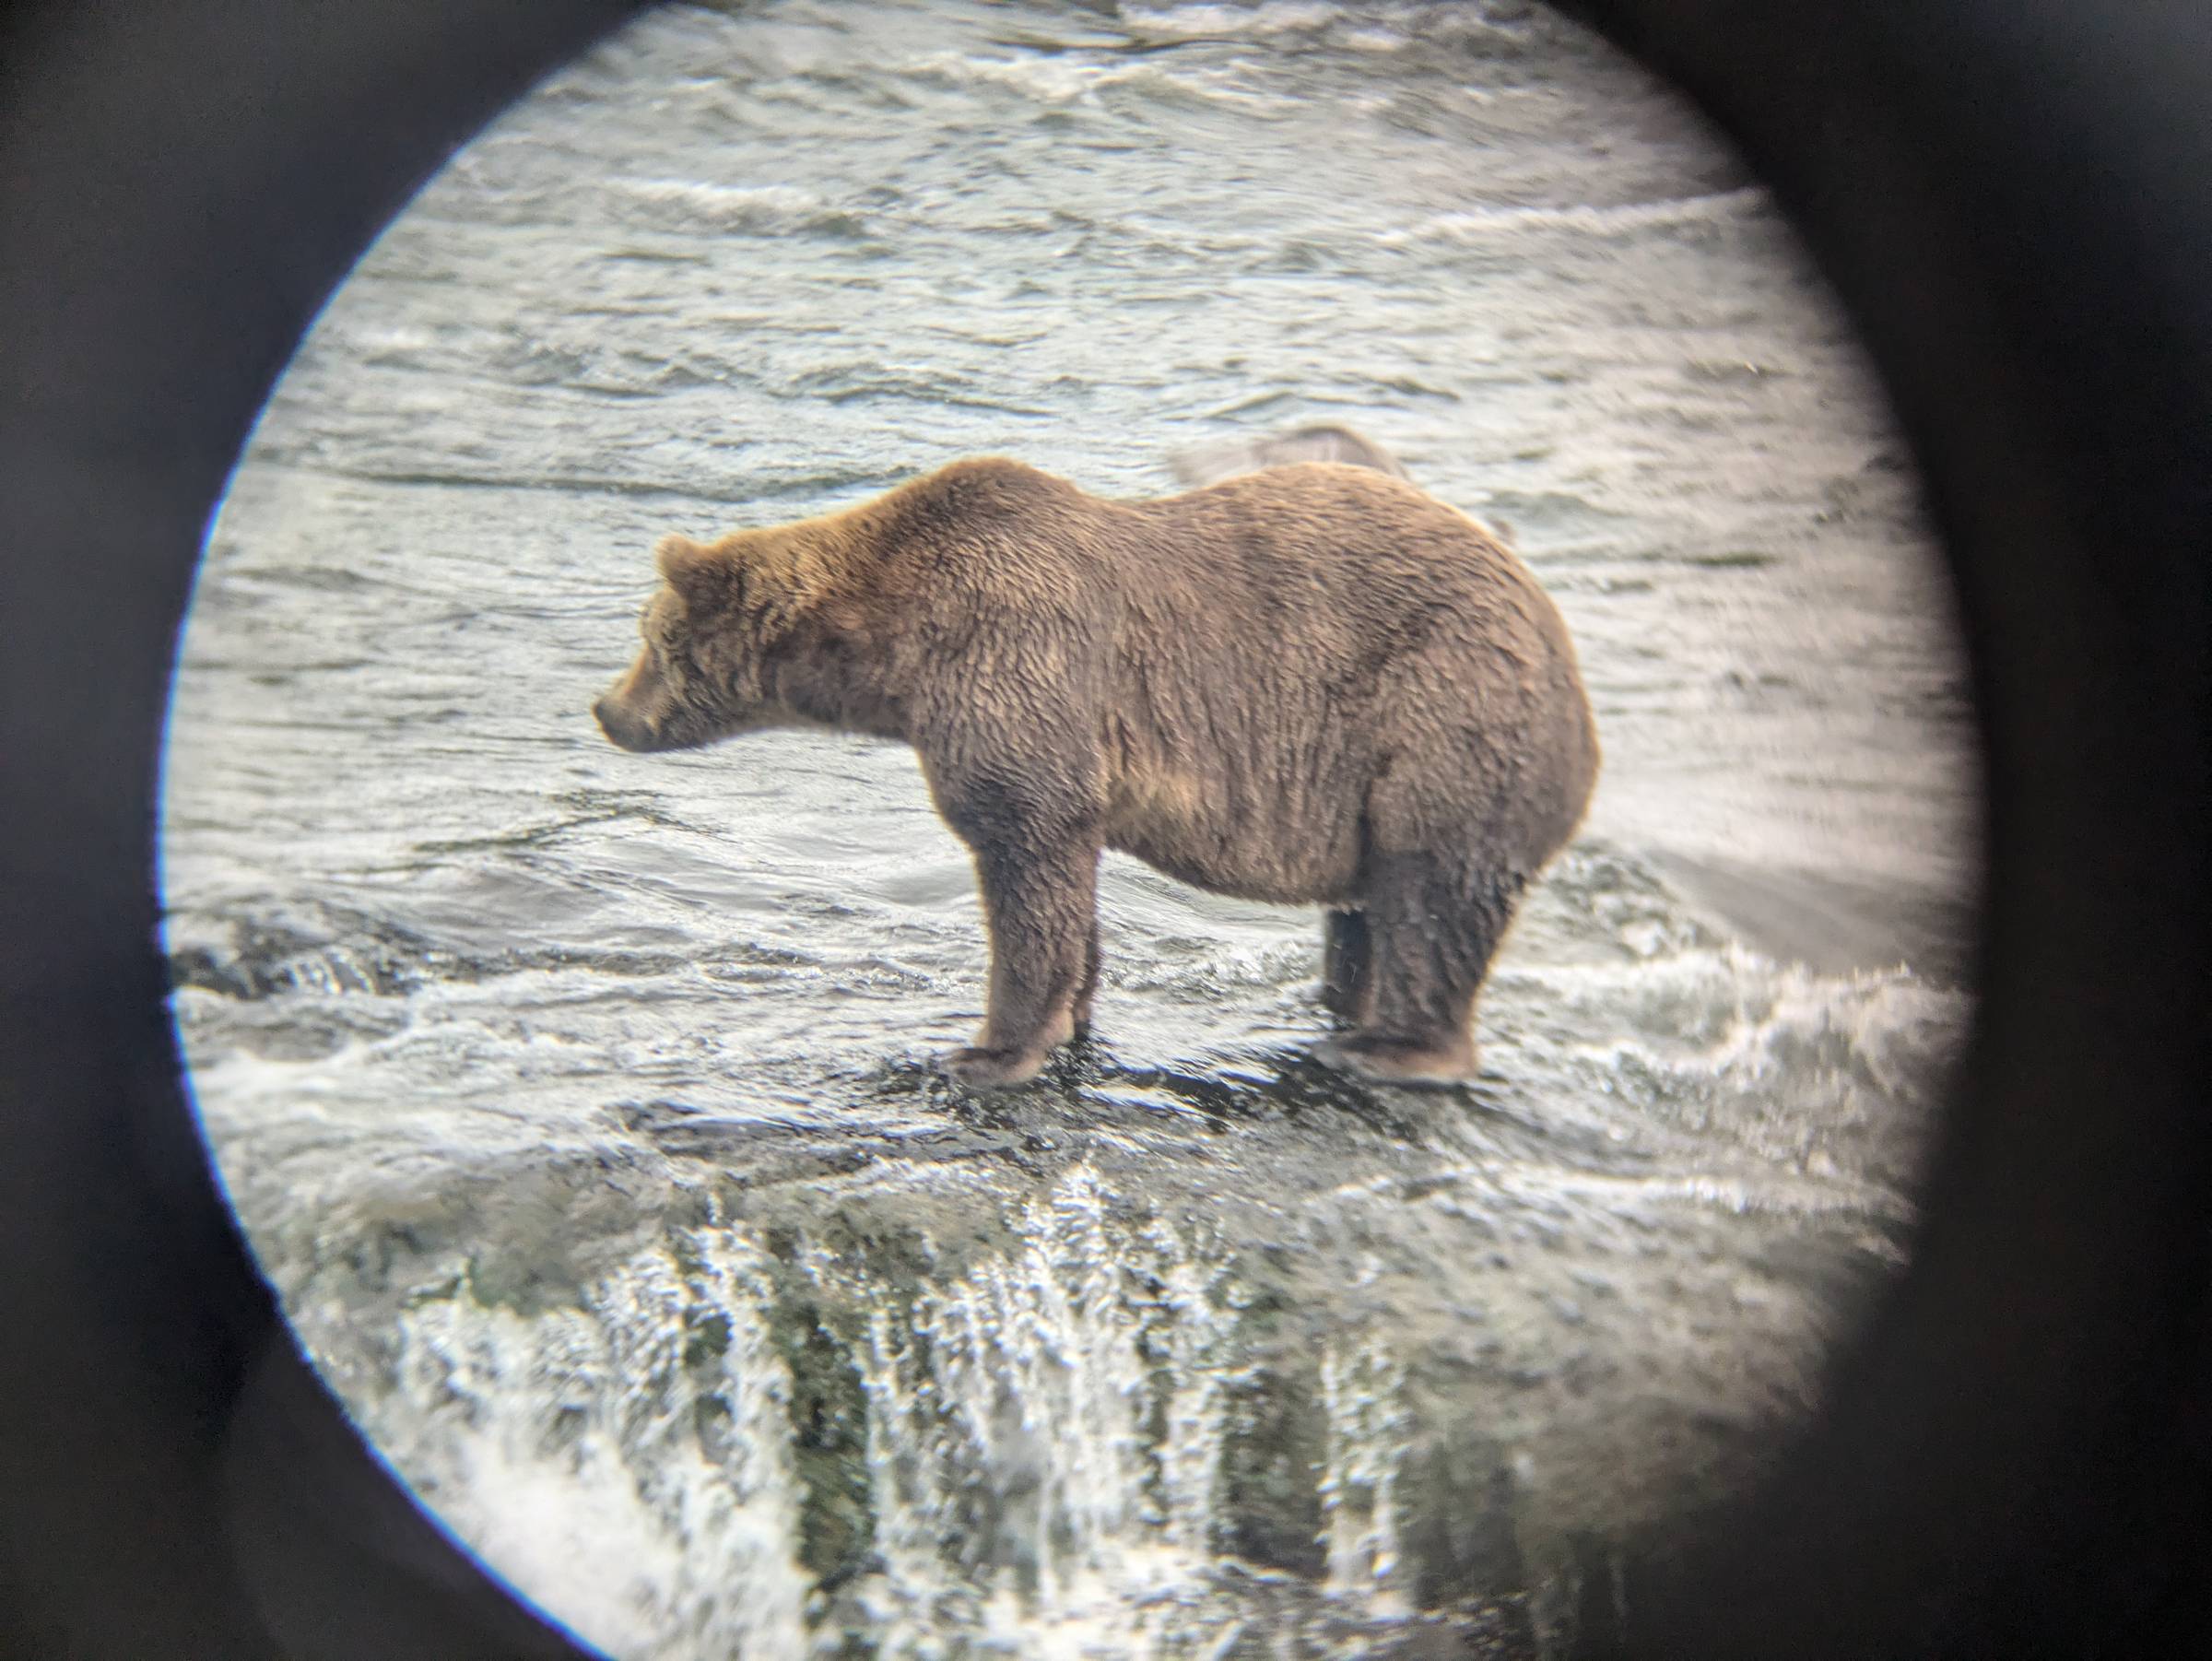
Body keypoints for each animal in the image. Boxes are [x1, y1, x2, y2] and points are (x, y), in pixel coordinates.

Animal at [593, 440, 1599, 1090]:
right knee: (1367, 911)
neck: (889, 646)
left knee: (1432, 888)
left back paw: (1388, 1049)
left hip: (1443, 711)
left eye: (647, 634)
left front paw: (987, 1052)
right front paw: (1072, 1016)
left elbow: (1022, 858)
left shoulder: (1013, 659)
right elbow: (1068, 893)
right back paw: (1338, 1006)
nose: (606, 709)